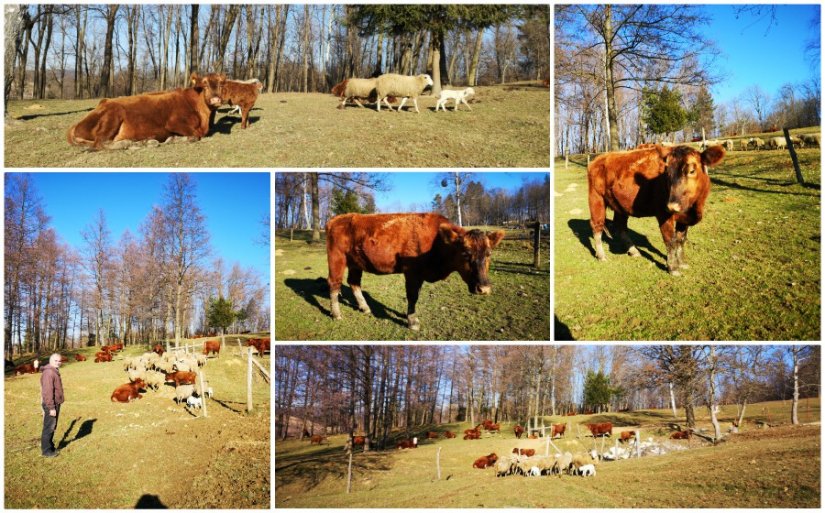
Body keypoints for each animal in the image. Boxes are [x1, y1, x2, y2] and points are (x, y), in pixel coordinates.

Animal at [67, 72, 225, 149]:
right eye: (205, 85)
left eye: (221, 84)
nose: (216, 99)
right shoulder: (173, 122)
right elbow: (195, 135)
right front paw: (175, 139)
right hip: (113, 115)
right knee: (100, 143)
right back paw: (132, 144)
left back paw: (144, 142)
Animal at [326, 213, 506, 330]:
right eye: (466, 253)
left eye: (489, 253)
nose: (484, 288)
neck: (437, 241)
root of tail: (338, 218)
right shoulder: (412, 273)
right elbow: (412, 296)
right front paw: (412, 321)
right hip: (337, 258)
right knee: (334, 284)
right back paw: (336, 313)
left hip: (355, 264)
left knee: (354, 283)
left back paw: (365, 308)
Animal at [588, 144, 724, 274]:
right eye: (667, 173)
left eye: (692, 170)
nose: (672, 206)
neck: (693, 209)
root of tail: (600, 158)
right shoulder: (663, 214)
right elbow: (670, 241)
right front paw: (673, 268)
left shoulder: (684, 219)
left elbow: (681, 240)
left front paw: (682, 263)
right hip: (596, 198)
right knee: (597, 226)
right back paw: (601, 255)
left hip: (620, 205)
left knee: (620, 226)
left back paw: (633, 251)